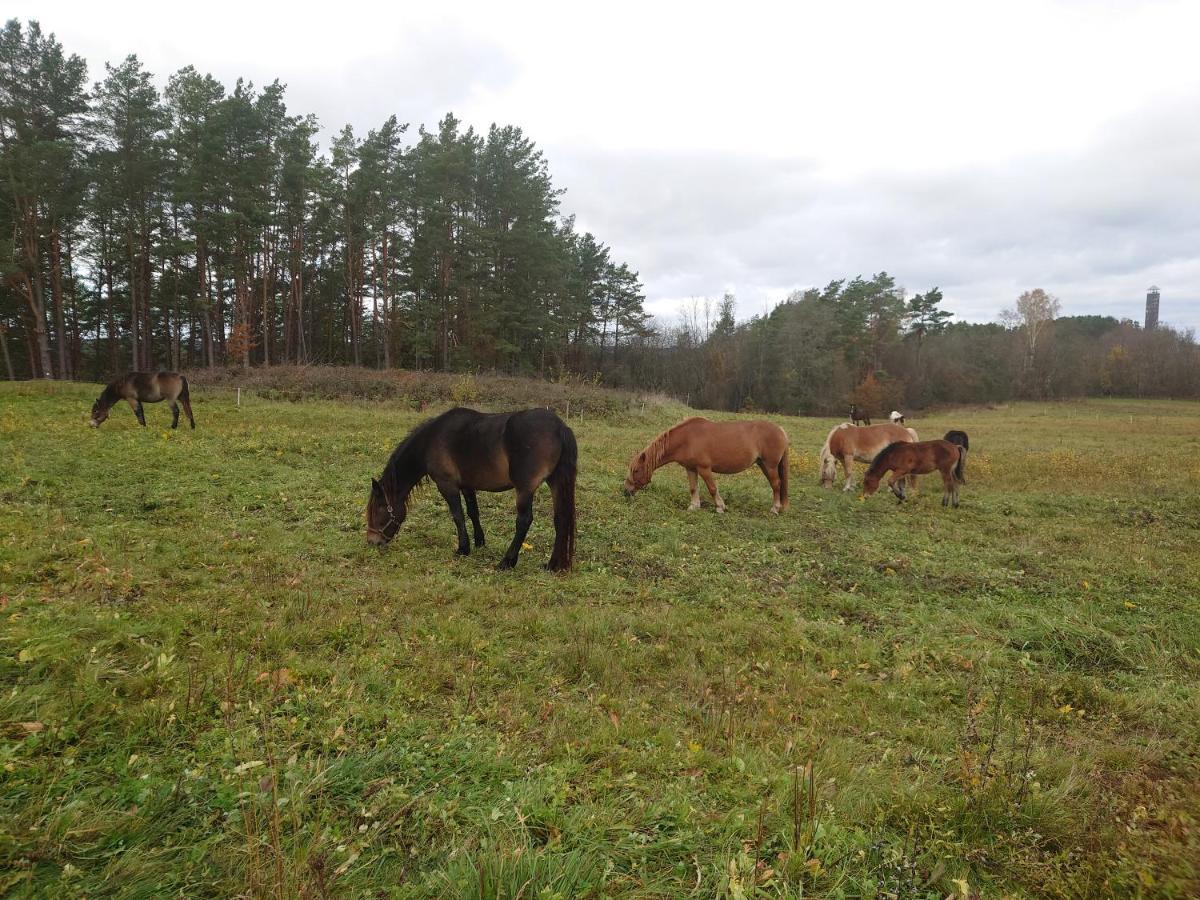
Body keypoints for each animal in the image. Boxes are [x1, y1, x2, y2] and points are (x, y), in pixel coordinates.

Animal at [364, 408, 576, 571]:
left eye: (378, 510)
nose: (372, 542)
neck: (431, 440)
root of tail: (560, 427)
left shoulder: (447, 484)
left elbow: (457, 515)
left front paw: (463, 548)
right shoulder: (467, 485)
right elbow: (473, 512)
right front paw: (479, 542)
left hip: (525, 489)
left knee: (524, 521)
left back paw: (507, 562)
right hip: (555, 481)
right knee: (560, 519)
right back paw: (553, 565)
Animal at [624, 417, 792, 513]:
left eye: (636, 470)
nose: (626, 491)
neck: (687, 439)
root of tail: (781, 430)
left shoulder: (704, 469)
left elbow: (712, 488)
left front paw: (720, 507)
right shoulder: (690, 468)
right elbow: (693, 488)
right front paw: (694, 506)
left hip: (770, 465)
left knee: (776, 484)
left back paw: (775, 509)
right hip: (763, 465)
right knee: (775, 484)